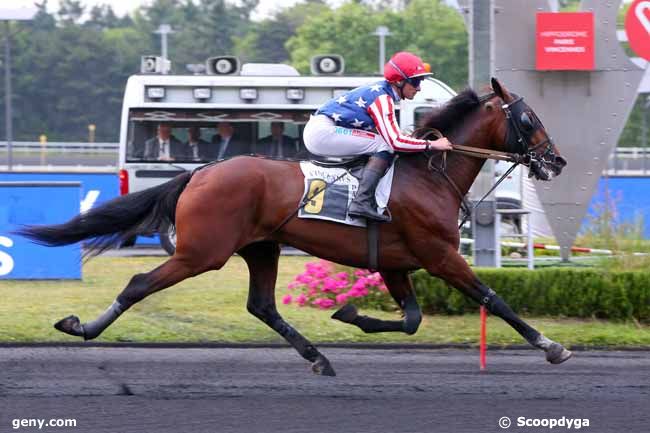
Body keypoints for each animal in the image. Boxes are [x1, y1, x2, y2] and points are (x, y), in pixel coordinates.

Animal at [15, 77, 568, 374]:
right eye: (529, 118)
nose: (557, 161)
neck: (430, 175)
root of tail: (201, 173)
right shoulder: (440, 256)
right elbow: (493, 298)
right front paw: (551, 346)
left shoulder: (397, 263)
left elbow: (411, 319)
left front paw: (350, 313)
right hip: (202, 252)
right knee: (138, 283)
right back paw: (82, 327)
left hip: (261, 247)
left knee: (261, 305)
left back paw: (318, 356)